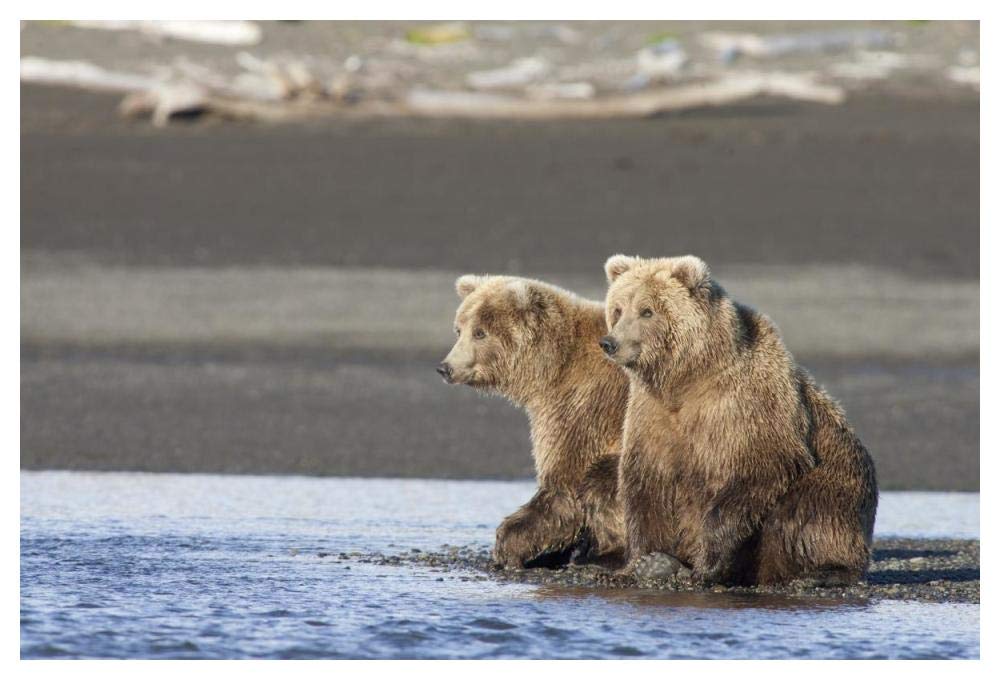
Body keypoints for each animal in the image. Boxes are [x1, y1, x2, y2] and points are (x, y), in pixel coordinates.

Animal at [438, 274, 629, 569]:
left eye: (480, 332)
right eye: (459, 330)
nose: (446, 367)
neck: (552, 367)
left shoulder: (583, 403)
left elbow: (565, 483)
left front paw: (510, 545)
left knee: (604, 479)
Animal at [600, 254, 878, 586]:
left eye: (647, 310)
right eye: (617, 309)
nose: (610, 343)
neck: (685, 379)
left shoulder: (744, 407)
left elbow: (754, 472)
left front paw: (705, 566)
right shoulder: (651, 415)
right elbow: (646, 486)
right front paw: (642, 562)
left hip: (839, 482)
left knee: (804, 515)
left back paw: (821, 572)